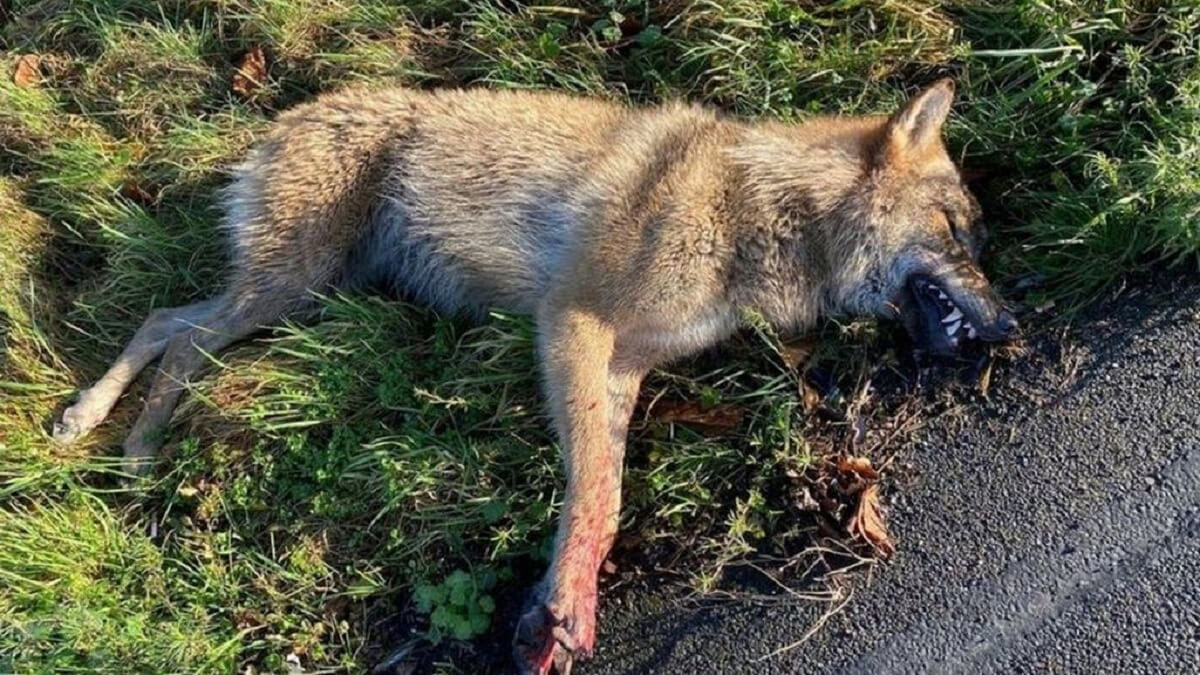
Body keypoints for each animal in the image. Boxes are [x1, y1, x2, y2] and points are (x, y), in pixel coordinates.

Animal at [53, 78, 1017, 674]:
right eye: (958, 233)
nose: (1011, 328)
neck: (761, 210)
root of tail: (282, 120)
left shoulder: (621, 363)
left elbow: (602, 497)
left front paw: (560, 604)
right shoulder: (572, 325)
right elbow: (597, 492)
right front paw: (564, 608)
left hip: (301, 294)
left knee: (171, 325)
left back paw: (106, 437)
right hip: (289, 285)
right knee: (174, 332)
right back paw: (121, 443)